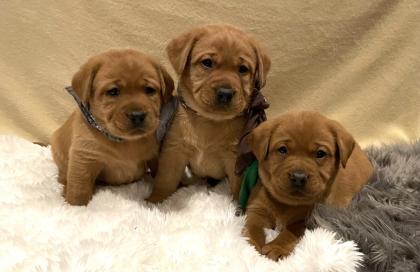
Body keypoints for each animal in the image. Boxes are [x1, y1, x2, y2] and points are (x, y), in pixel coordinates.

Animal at [51, 49, 174, 206]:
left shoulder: (155, 155)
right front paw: (75, 206)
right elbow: (79, 186)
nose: (138, 115)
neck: (125, 141)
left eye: (149, 90)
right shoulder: (84, 156)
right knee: (63, 172)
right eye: (113, 92)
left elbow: (162, 176)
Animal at [243, 111, 374, 260]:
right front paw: (251, 245)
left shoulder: (308, 220)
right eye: (282, 150)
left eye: (320, 153)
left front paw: (277, 247)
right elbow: (253, 227)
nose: (298, 177)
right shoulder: (256, 209)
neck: (287, 204)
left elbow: (289, 232)